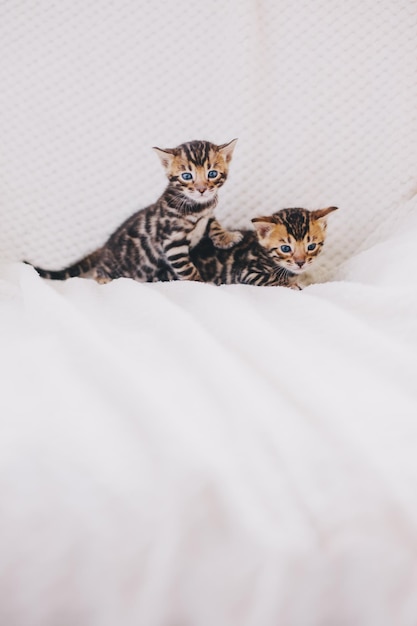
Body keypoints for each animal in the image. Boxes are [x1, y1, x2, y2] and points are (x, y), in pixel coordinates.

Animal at [27, 139, 242, 282]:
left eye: (212, 173)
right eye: (187, 176)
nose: (201, 189)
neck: (197, 206)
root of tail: (104, 248)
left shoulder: (207, 213)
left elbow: (213, 222)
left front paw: (226, 237)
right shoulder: (172, 243)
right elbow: (188, 269)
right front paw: (200, 283)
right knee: (98, 272)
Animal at [189, 207, 338, 290]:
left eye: (311, 246)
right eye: (285, 248)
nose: (300, 263)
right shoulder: (246, 273)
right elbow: (271, 278)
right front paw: (292, 285)